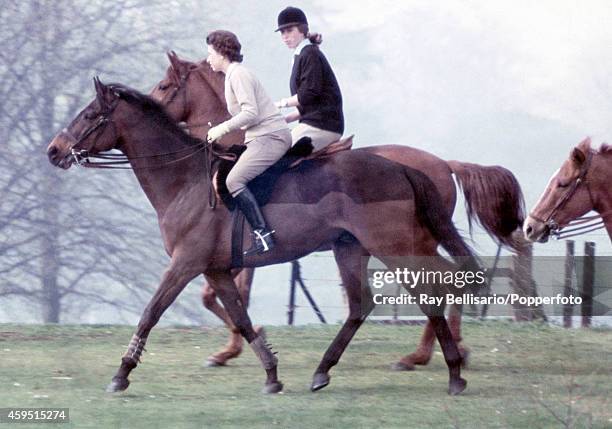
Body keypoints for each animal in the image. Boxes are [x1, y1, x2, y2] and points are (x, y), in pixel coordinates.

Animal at [45, 77, 480, 394]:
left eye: (89, 114)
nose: (54, 150)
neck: (185, 180)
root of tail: (404, 167)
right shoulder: (217, 270)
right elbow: (241, 317)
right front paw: (271, 374)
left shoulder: (185, 264)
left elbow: (151, 312)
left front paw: (122, 374)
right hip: (353, 248)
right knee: (366, 304)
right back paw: (325, 371)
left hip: (396, 246)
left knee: (434, 288)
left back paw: (452, 371)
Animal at [148, 51, 524, 368]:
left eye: (164, 85)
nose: (149, 104)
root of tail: (443, 164)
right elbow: (222, 297)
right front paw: (237, 347)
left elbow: (219, 296)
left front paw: (240, 345)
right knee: (450, 278)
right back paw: (448, 348)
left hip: (408, 243)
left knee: (442, 280)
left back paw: (422, 354)